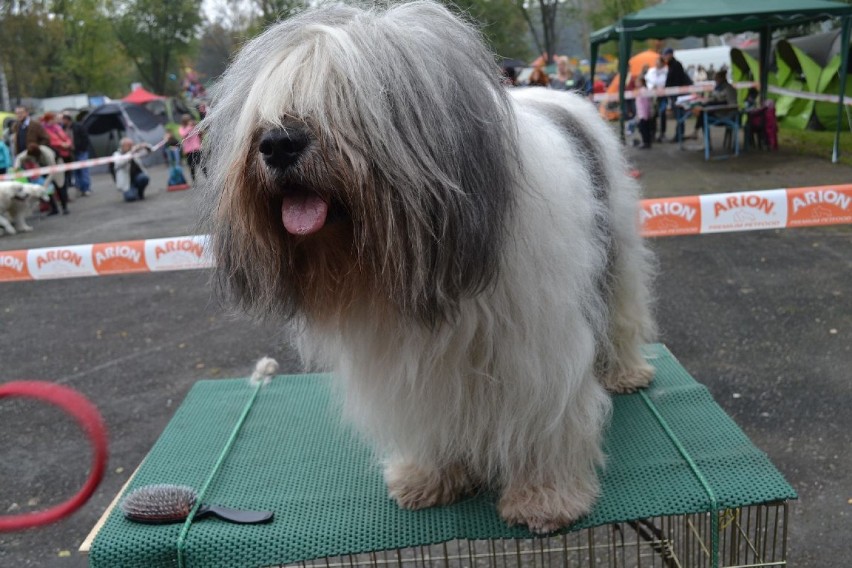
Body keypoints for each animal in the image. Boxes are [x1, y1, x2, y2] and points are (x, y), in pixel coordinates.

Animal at [200, 1, 660, 532]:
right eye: (264, 108)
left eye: (345, 96)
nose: (277, 144)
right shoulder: (410, 362)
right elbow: (428, 414)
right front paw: (429, 476)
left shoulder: (539, 350)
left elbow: (545, 417)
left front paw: (545, 497)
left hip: (618, 249)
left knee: (623, 313)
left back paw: (626, 372)